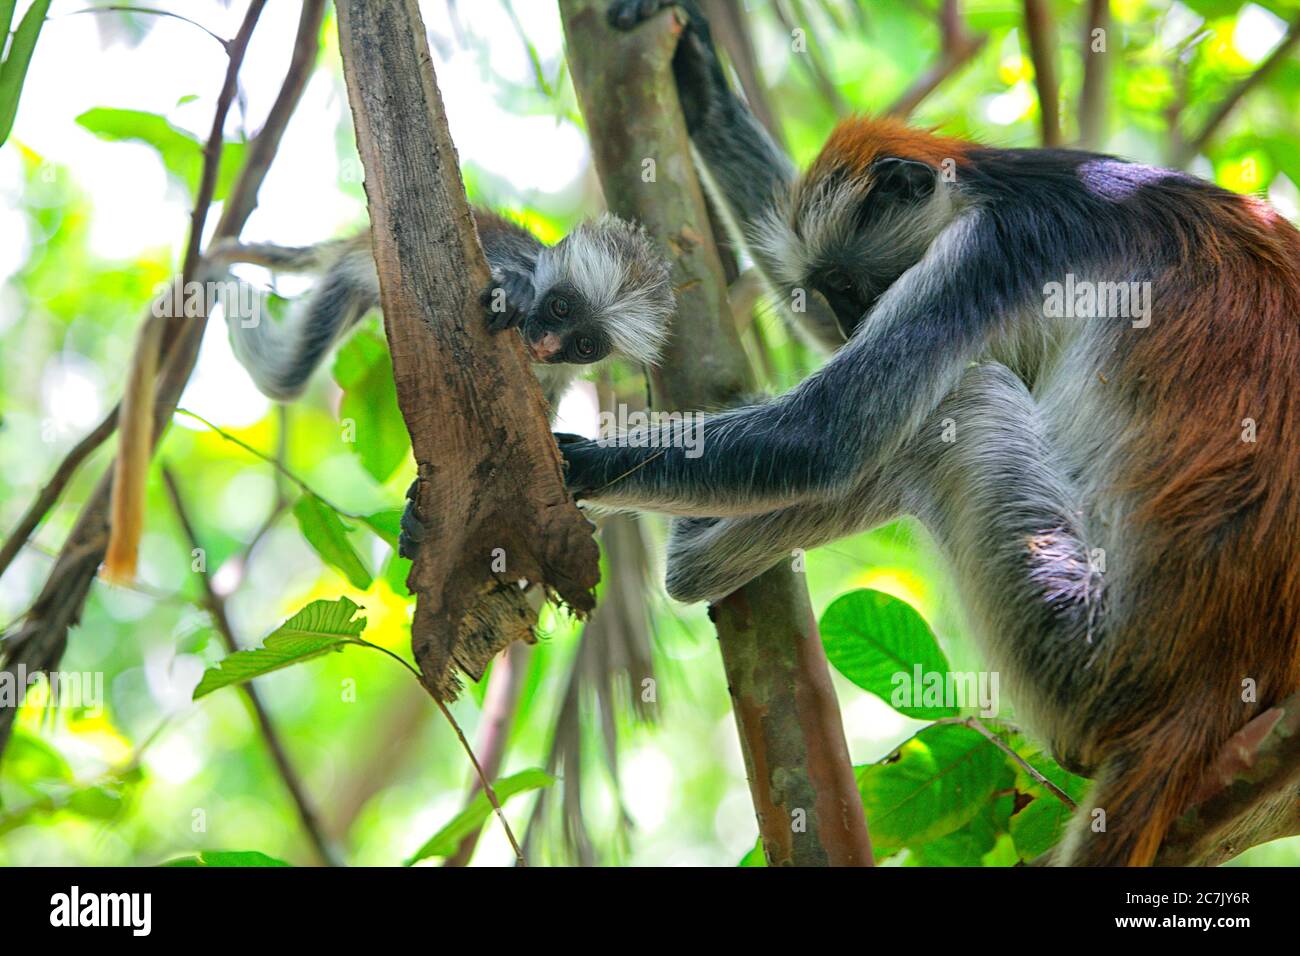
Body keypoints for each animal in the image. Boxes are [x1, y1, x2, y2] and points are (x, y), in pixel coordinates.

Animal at [579, 0, 1300, 868]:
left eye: (847, 284)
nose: (847, 316)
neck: (1000, 180)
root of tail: (1213, 681)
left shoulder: (991, 250)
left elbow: (830, 434)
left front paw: (570, 465)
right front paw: (699, 79)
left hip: (1082, 655)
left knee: (962, 401)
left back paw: (692, 560)